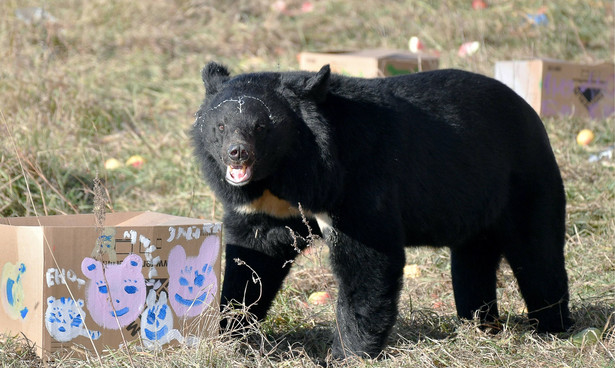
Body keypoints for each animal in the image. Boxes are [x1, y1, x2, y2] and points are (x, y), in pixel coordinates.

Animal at [191, 62, 572, 360]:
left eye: (262, 127)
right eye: (220, 125)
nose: (237, 153)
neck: (282, 176)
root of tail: (531, 113)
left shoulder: (357, 184)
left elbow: (367, 261)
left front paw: (347, 354)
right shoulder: (265, 208)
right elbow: (252, 257)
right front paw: (231, 332)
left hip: (525, 180)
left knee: (537, 254)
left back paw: (552, 327)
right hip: (479, 202)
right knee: (473, 261)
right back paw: (478, 323)